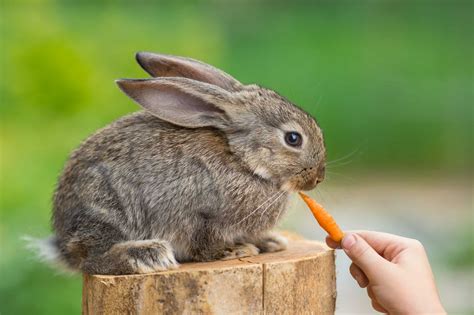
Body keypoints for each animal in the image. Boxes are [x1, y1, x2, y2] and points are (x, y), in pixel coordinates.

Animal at [38, 53, 326, 276]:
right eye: (293, 138)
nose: (318, 178)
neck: (242, 160)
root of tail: (62, 244)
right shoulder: (199, 216)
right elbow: (204, 244)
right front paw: (235, 251)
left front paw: (270, 241)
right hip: (107, 208)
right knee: (91, 259)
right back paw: (146, 255)